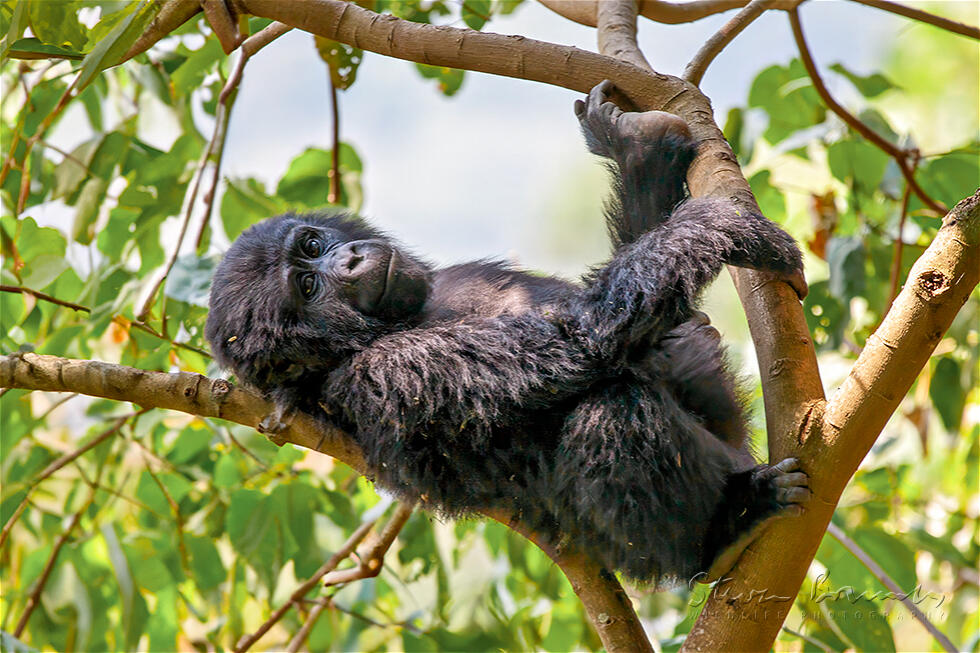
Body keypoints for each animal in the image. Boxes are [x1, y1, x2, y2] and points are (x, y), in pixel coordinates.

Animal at [205, 81, 810, 583]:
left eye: (311, 245)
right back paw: (726, 528)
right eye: (307, 286)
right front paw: (716, 226)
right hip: (636, 552)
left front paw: (638, 151)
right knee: (610, 415)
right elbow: (583, 334)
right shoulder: (388, 372)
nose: (347, 261)